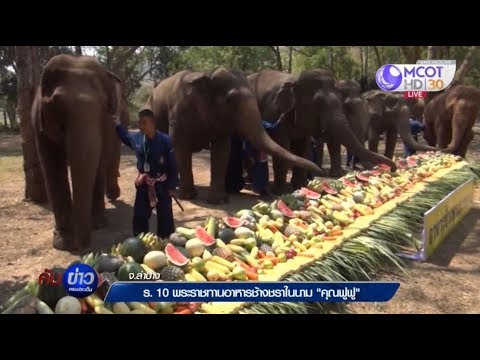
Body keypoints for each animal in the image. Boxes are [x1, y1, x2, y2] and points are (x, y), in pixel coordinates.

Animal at [32, 54, 124, 250]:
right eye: (59, 106)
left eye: (102, 110)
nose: (81, 246)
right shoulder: (38, 121)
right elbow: (53, 169)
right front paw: (62, 243)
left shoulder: (107, 125)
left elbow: (99, 163)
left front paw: (98, 225)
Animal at [148, 67, 320, 204]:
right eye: (230, 99)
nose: (321, 172)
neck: (206, 74)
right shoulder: (178, 114)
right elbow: (180, 148)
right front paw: (189, 197)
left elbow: (222, 151)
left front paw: (219, 201)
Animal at [246, 69, 396, 195]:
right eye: (318, 104)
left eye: (341, 104)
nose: (392, 169)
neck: (295, 80)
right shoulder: (273, 112)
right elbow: (282, 145)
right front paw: (280, 192)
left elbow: (303, 146)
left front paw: (301, 186)